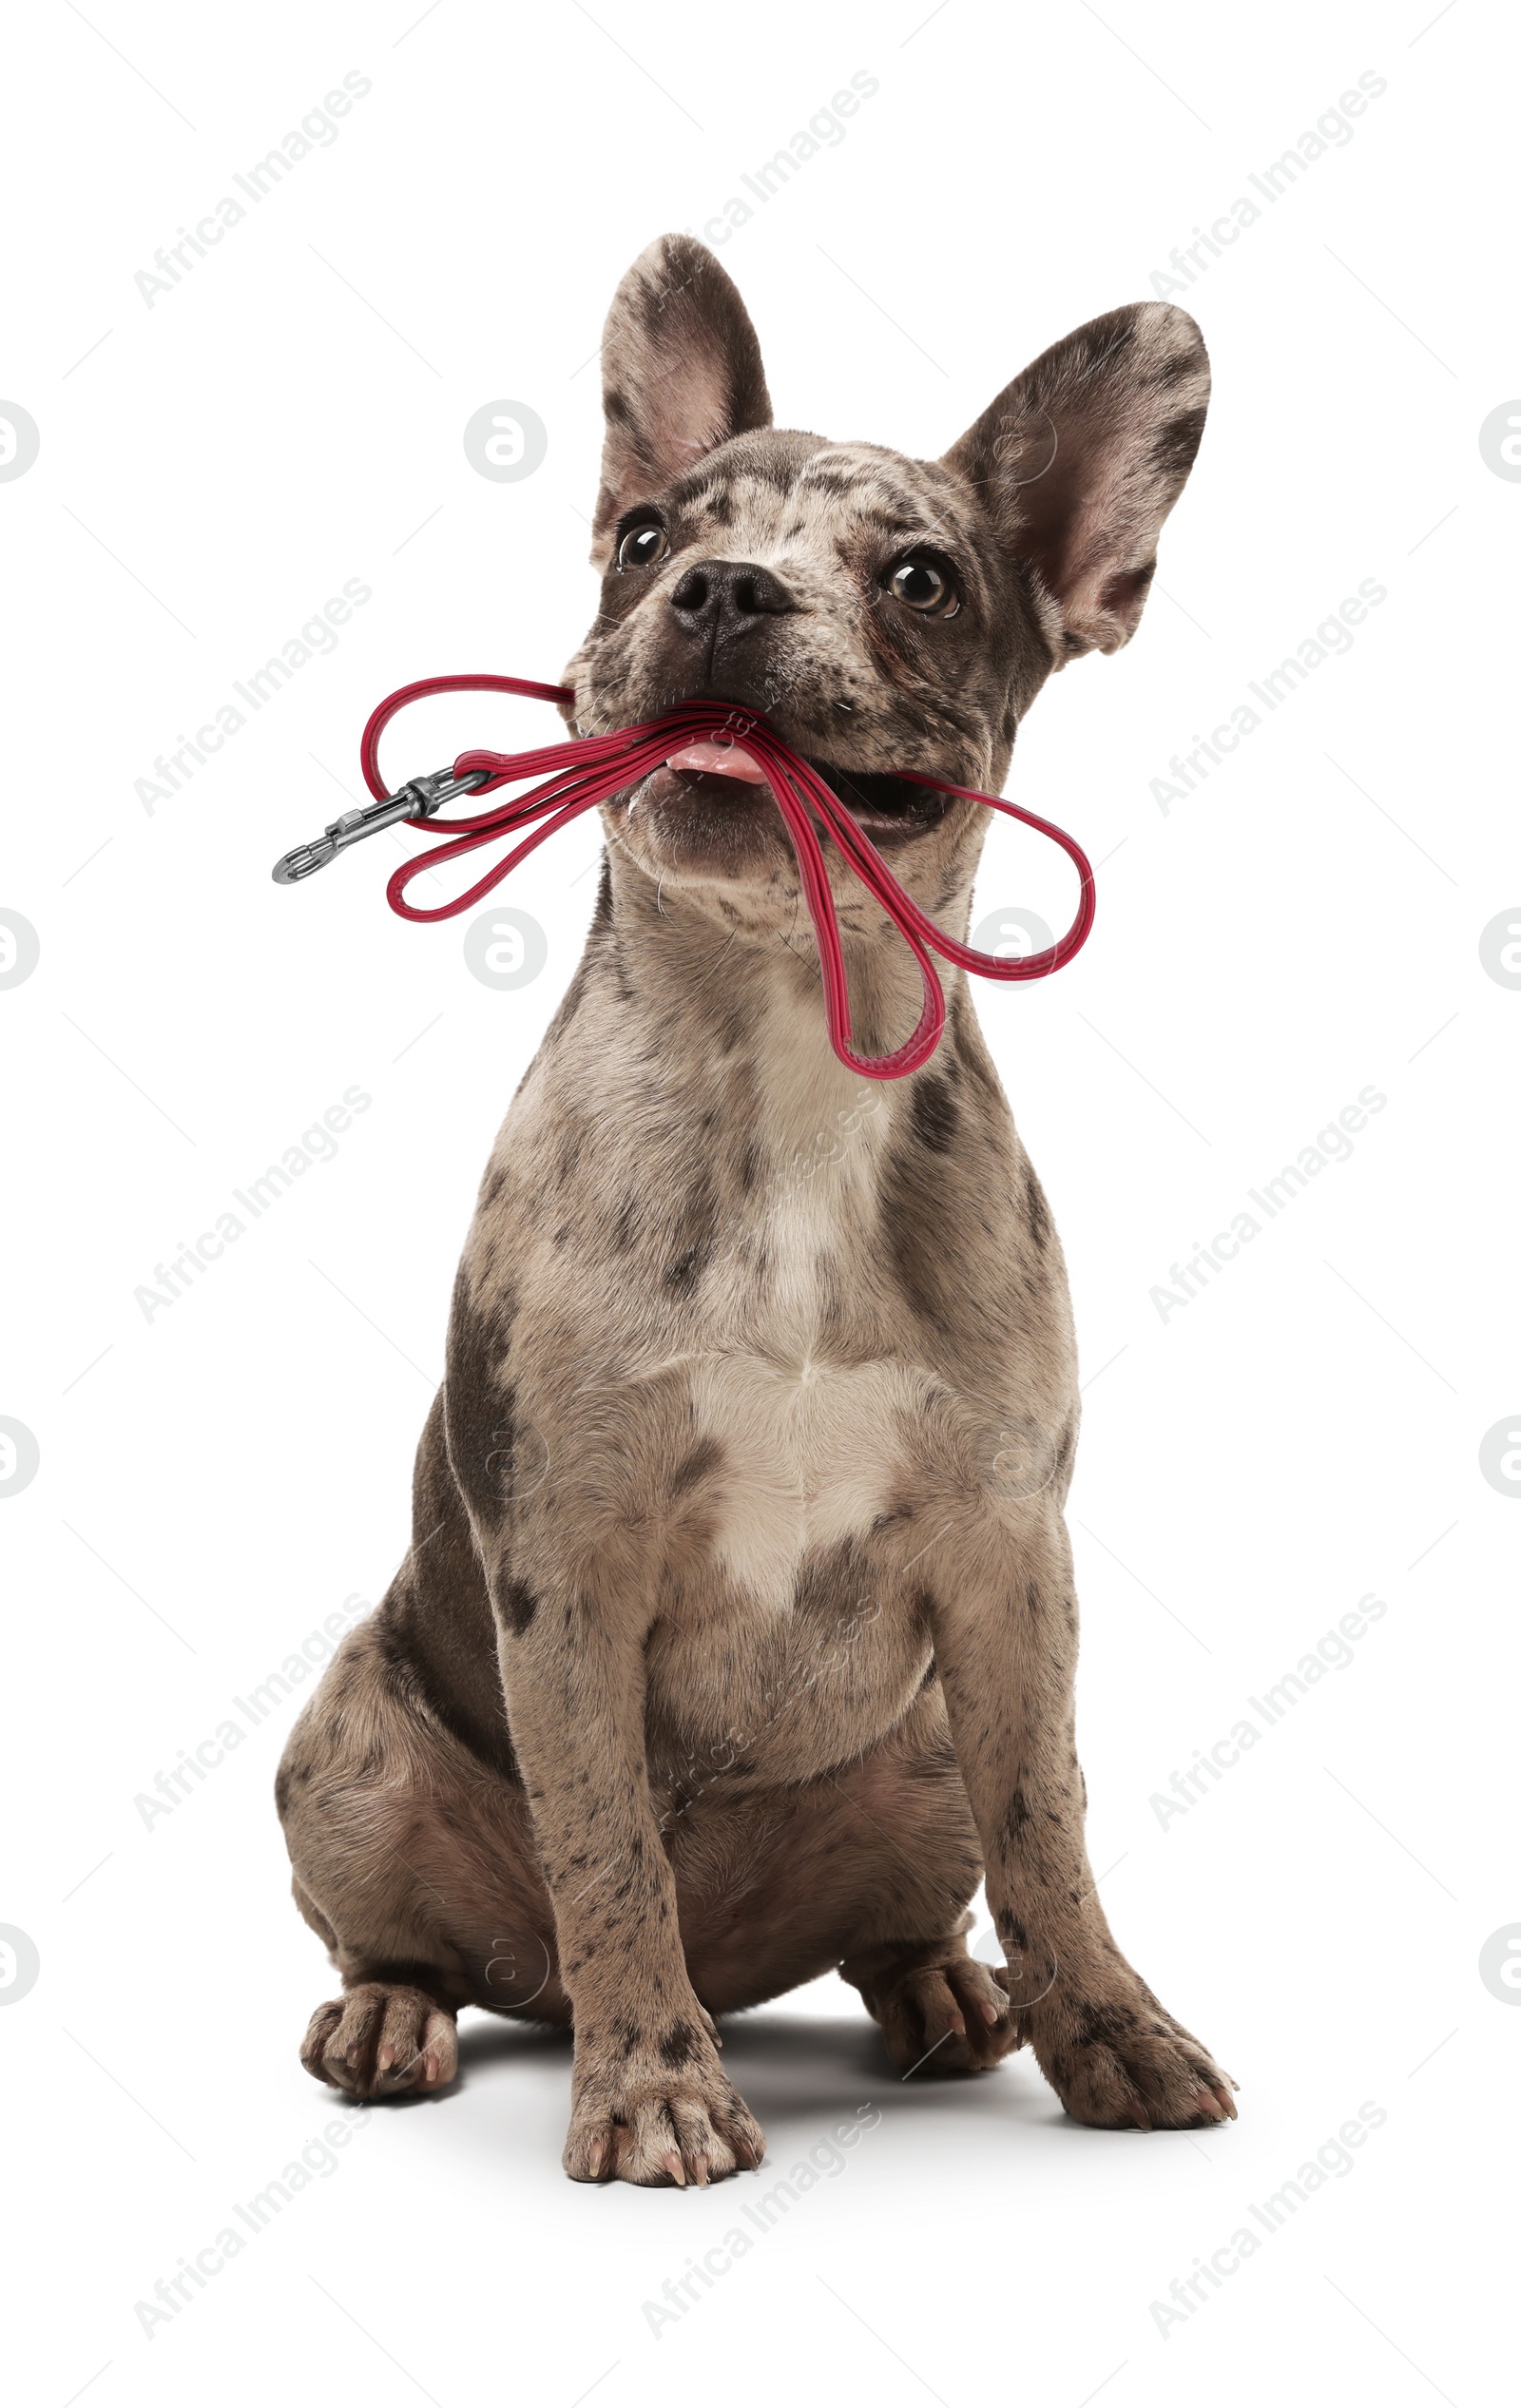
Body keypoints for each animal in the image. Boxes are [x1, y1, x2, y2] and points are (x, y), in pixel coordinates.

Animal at [279, 229, 1232, 2186]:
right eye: (645, 535)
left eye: (922, 579)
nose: (719, 589)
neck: (781, 1034)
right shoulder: (569, 1560)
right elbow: (604, 1841)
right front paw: (652, 2085)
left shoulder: (1010, 1565)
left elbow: (1054, 1825)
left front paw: (1111, 2028)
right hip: (346, 1738)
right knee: (428, 1930)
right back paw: (407, 2013)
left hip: (919, 1750)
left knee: (918, 1899)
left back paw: (943, 1988)